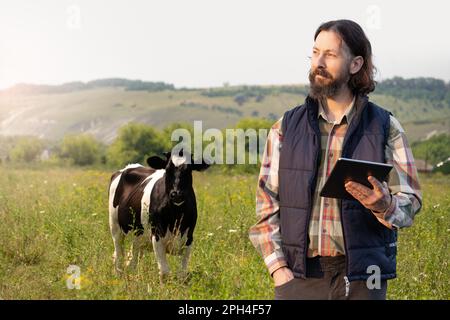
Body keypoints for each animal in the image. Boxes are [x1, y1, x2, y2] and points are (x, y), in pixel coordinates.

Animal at [109, 151, 209, 282]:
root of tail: (129, 166)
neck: (176, 214)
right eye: (167, 169)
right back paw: (118, 276)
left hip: (138, 236)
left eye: (188, 170)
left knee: (132, 260)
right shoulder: (157, 236)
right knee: (119, 255)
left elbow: (182, 273)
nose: (177, 194)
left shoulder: (189, 238)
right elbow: (165, 272)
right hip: (115, 227)